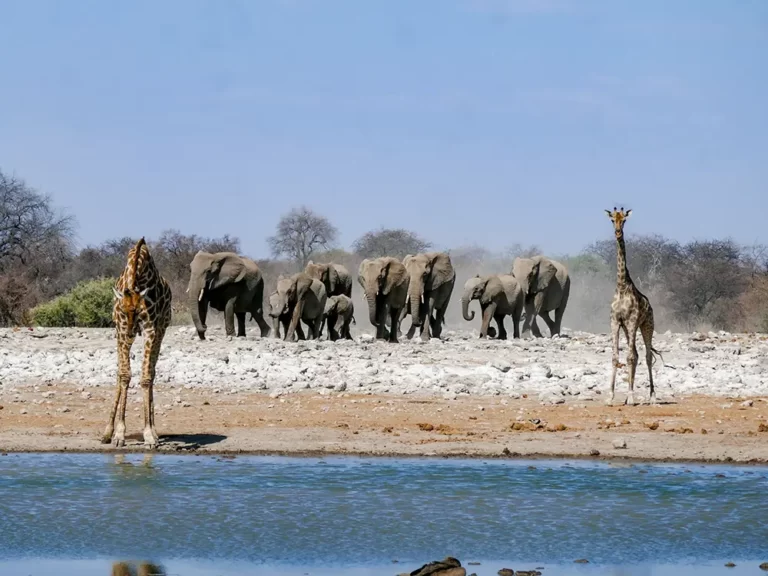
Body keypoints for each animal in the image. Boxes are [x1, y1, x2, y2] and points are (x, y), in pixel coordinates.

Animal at [101, 236, 172, 448]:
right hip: (121, 334)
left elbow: (146, 376)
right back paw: (107, 432)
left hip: (162, 329)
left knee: (153, 372)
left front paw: (148, 434)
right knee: (119, 373)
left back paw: (155, 432)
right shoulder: (122, 329)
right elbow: (124, 375)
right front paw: (118, 435)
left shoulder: (150, 329)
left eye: (139, 309)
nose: (133, 330)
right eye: (123, 311)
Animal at [604, 208, 664, 404]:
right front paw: (611, 396)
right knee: (637, 355)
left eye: (624, 220)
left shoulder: (631, 321)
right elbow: (615, 357)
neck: (622, 286)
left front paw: (630, 397)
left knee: (646, 356)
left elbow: (629, 357)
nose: (617, 232)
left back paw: (652, 395)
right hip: (629, 328)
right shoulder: (616, 321)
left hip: (646, 325)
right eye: (612, 220)